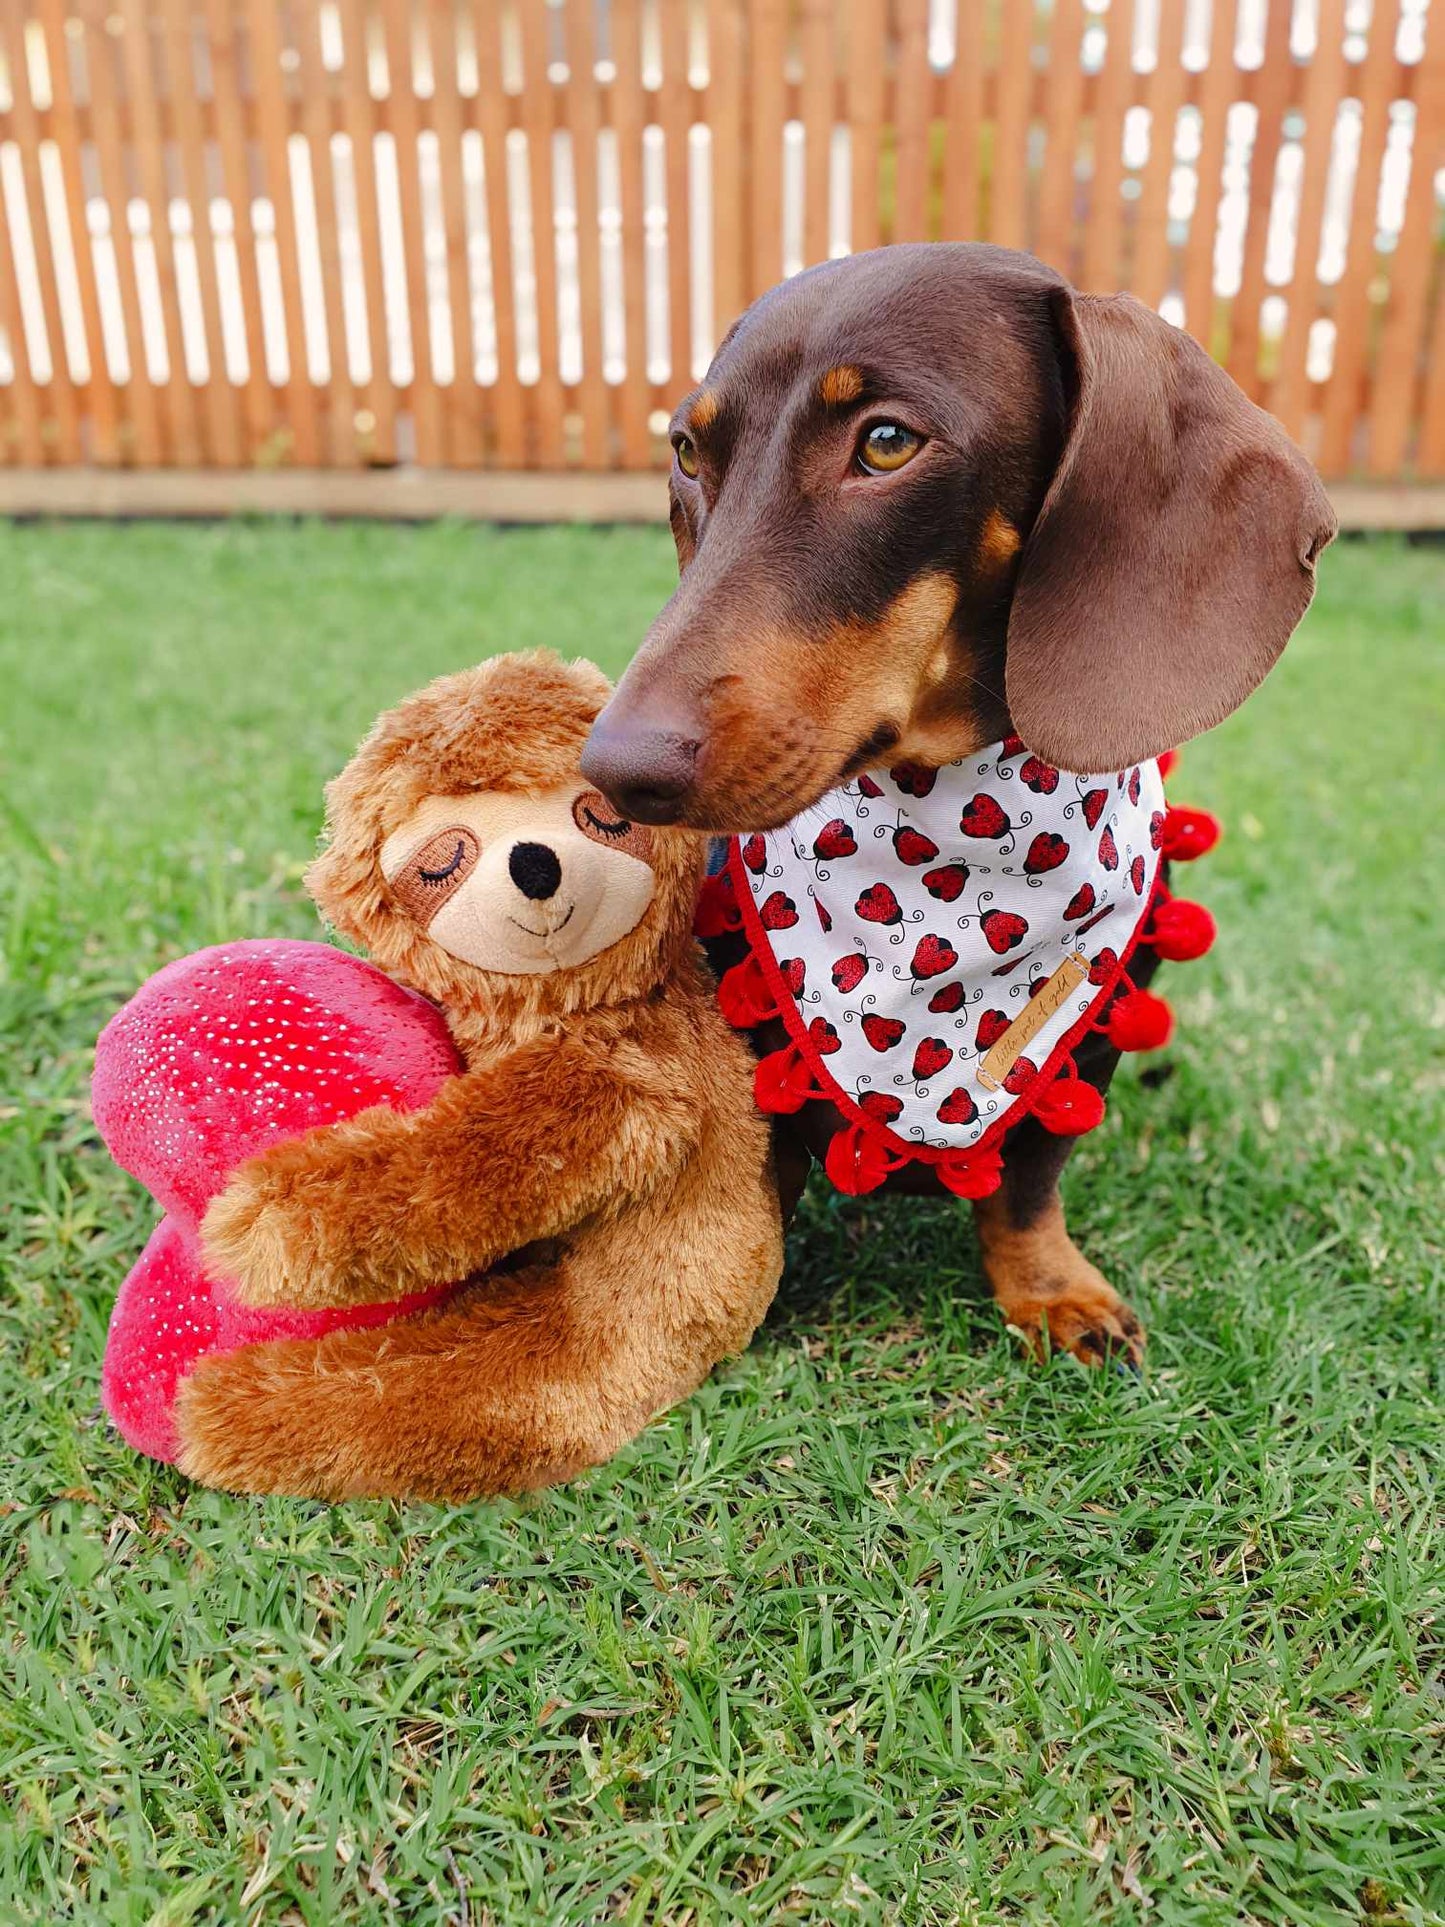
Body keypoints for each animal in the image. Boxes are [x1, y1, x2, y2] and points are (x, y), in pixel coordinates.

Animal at [578, 244, 1333, 1372]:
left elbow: (1026, 1184)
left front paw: (1052, 1292)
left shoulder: (1087, 1035)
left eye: (886, 441)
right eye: (686, 450)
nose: (616, 770)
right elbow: (756, 1171)